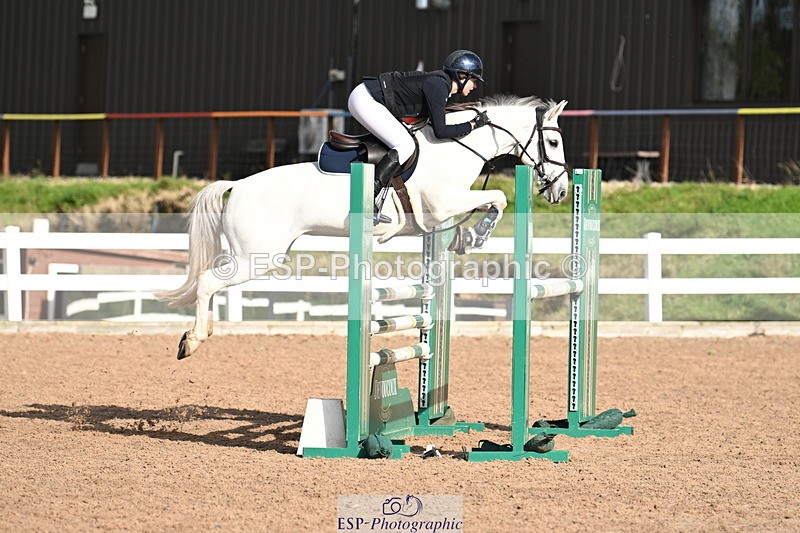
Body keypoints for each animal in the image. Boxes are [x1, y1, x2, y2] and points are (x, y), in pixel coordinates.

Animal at [156, 95, 570, 359]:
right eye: (552, 141)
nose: (562, 190)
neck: (456, 147)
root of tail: (237, 184)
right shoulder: (440, 205)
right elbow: (498, 198)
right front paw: (478, 234)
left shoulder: (444, 211)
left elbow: (490, 202)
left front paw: (469, 237)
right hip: (257, 257)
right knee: (207, 282)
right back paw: (192, 340)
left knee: (211, 283)